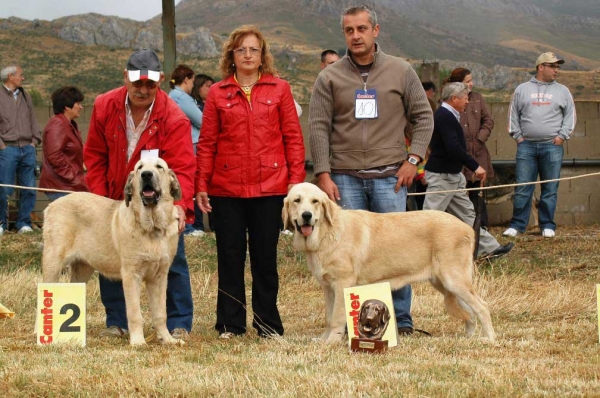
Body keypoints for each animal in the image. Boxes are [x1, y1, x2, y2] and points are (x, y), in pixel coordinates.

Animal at [42, 158, 183, 346]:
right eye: (140, 168)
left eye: (159, 167)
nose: (146, 174)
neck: (152, 227)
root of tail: (51, 205)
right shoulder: (131, 275)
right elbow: (135, 313)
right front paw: (138, 342)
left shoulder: (159, 277)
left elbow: (161, 313)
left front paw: (167, 339)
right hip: (53, 263)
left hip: (82, 269)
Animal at [284, 183, 494, 342]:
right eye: (297, 200)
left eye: (315, 201)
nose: (306, 216)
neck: (327, 233)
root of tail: (467, 228)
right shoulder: (328, 287)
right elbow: (329, 318)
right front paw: (323, 340)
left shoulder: (342, 284)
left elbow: (336, 317)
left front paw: (331, 342)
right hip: (445, 283)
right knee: (470, 313)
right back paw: (468, 338)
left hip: (453, 280)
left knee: (482, 307)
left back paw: (489, 339)